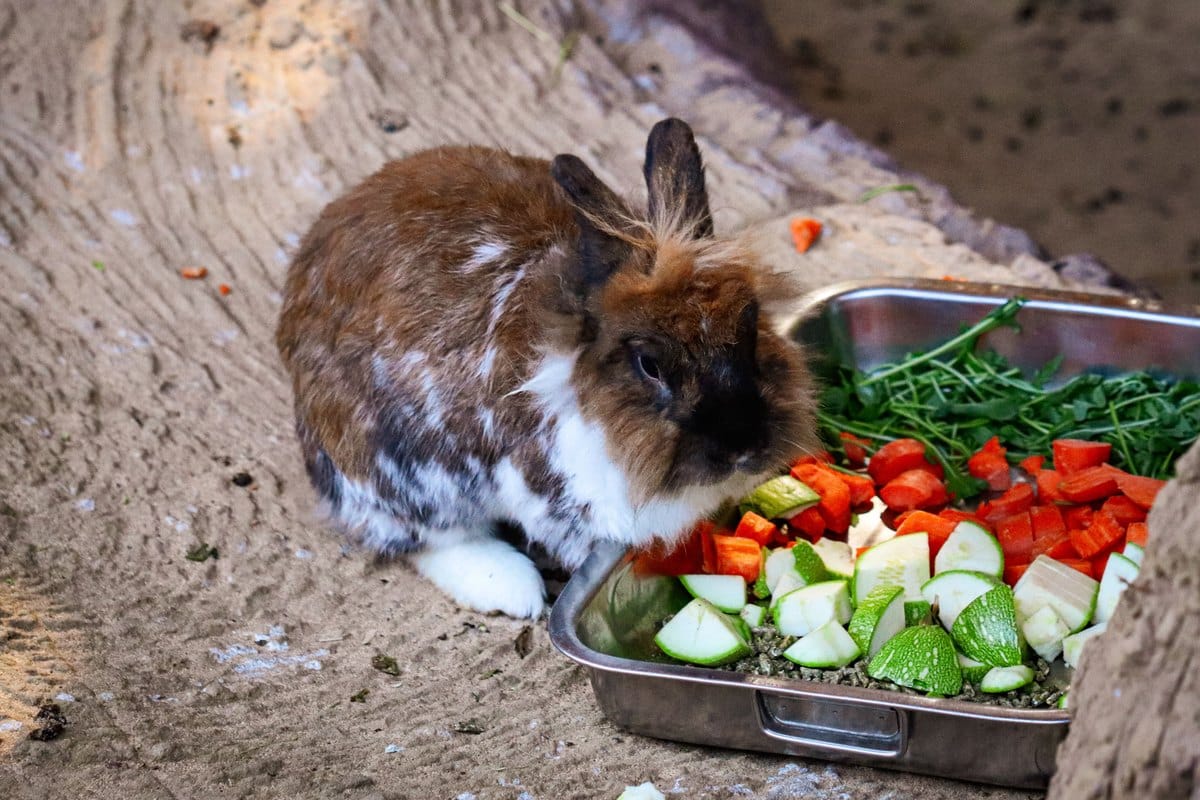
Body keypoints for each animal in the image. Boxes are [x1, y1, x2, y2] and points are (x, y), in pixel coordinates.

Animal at [275, 118, 819, 619]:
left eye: (751, 327)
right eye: (650, 364)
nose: (742, 448)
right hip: (401, 471)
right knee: (424, 538)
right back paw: (514, 591)